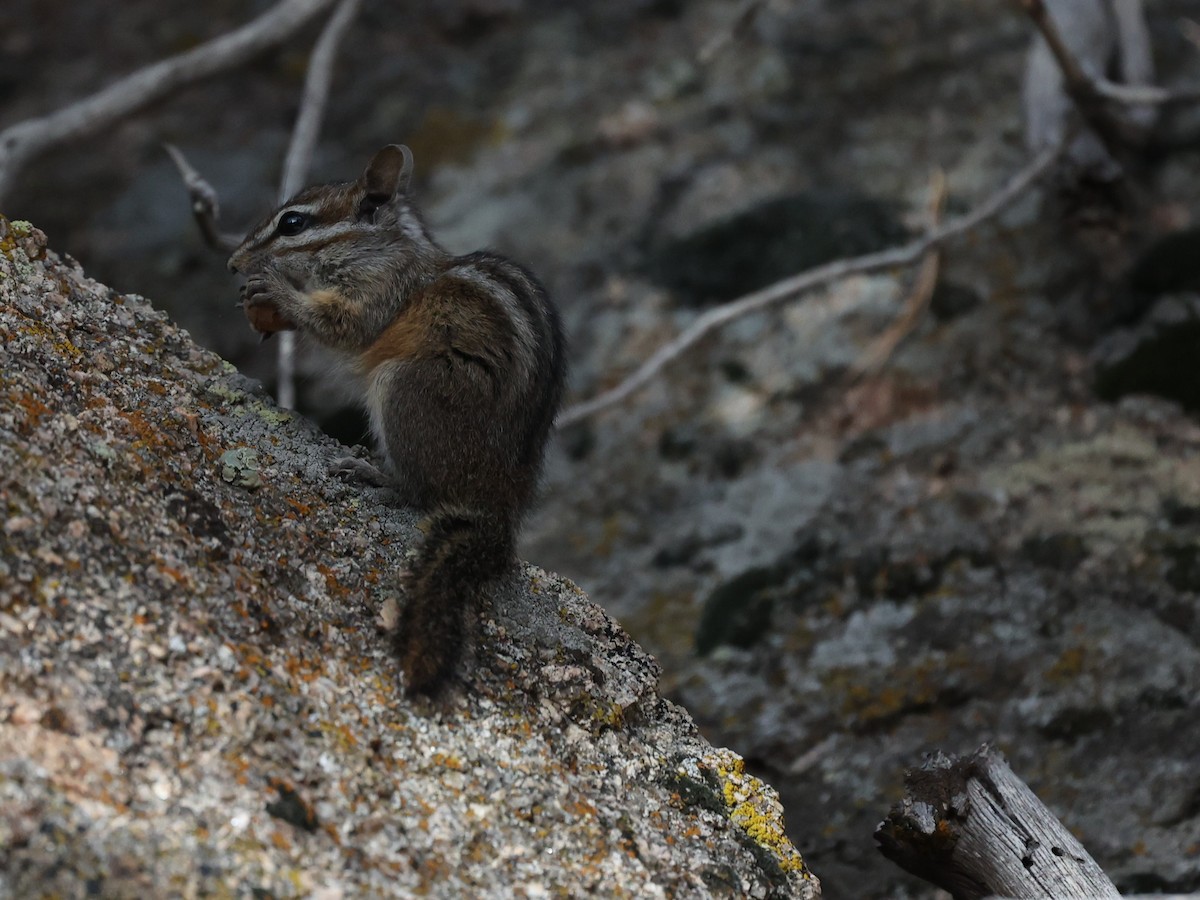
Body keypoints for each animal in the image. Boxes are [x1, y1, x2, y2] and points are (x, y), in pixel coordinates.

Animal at [228, 144, 566, 698]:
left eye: (292, 223)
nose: (232, 262)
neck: (382, 248)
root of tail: (497, 505)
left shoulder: (379, 293)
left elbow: (343, 325)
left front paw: (276, 290)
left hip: (404, 388)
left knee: (421, 493)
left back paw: (376, 475)